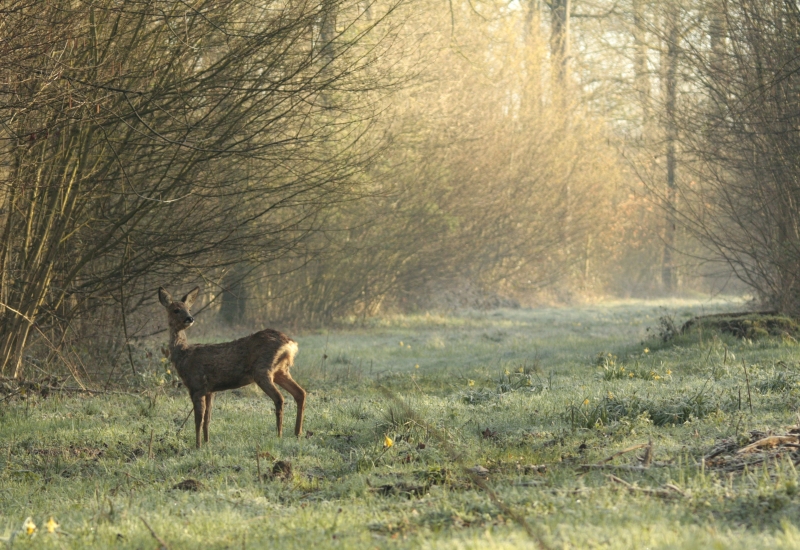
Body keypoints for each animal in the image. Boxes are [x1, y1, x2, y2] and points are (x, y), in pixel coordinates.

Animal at [159, 286, 306, 450]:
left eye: (189, 309)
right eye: (176, 310)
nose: (190, 318)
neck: (184, 355)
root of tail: (291, 344)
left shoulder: (196, 386)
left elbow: (198, 420)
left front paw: (198, 446)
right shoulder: (209, 390)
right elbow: (207, 418)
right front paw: (207, 443)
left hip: (262, 371)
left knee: (280, 398)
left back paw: (279, 435)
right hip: (281, 370)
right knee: (300, 393)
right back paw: (297, 433)